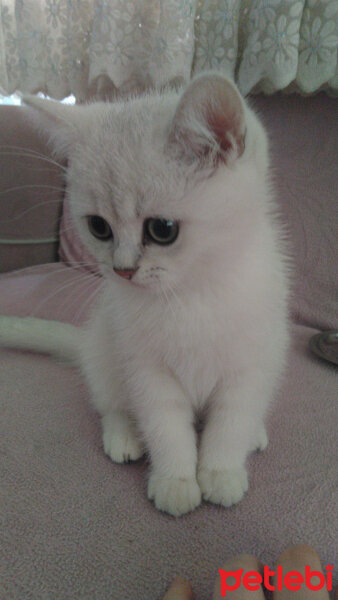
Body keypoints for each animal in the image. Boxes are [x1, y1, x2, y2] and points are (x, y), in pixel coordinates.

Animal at [0, 74, 290, 516]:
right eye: (99, 227)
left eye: (162, 229)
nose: (122, 270)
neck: (191, 294)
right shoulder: (146, 368)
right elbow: (165, 425)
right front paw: (177, 480)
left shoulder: (252, 364)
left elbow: (230, 421)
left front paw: (220, 471)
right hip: (106, 348)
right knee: (110, 401)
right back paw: (123, 435)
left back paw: (253, 434)